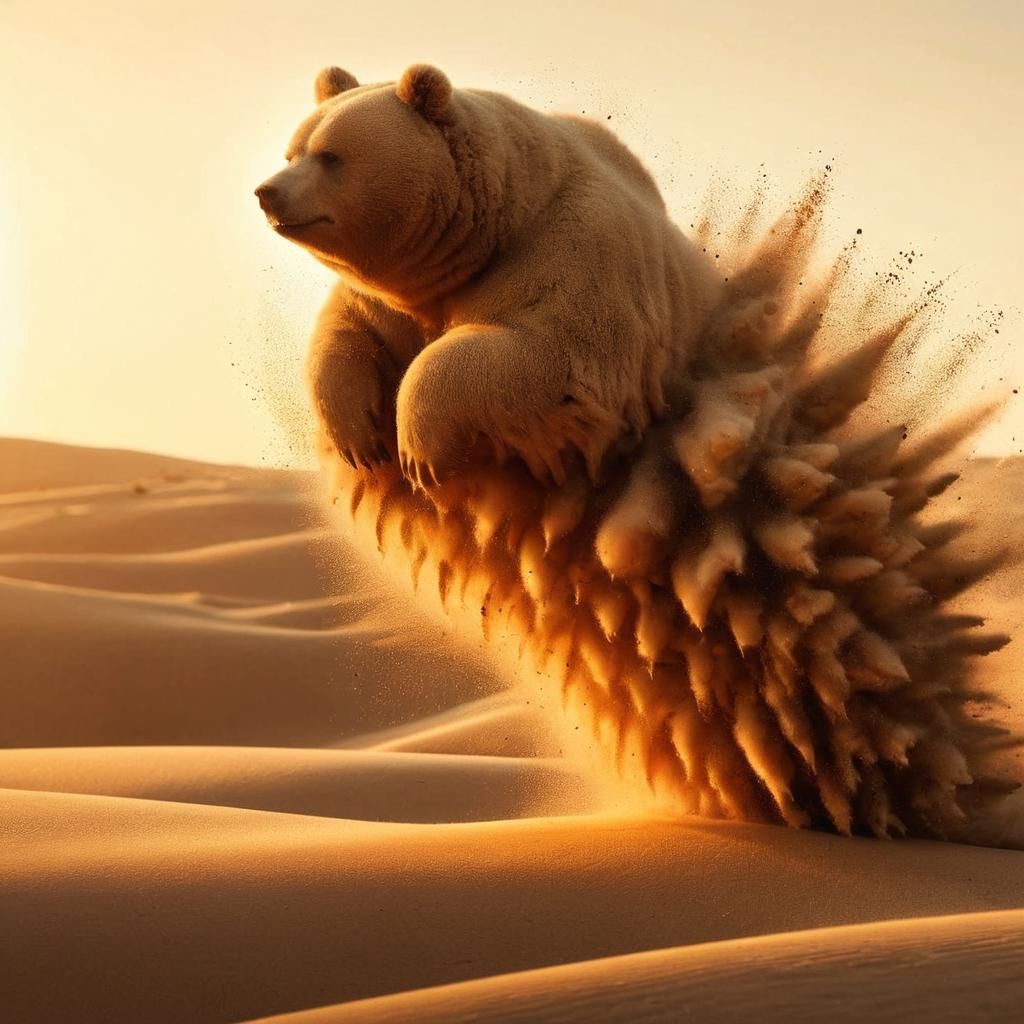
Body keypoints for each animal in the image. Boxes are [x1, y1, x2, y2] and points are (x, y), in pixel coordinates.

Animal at [255, 63, 722, 486]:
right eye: (293, 153)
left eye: (330, 156)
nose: (267, 192)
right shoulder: (390, 295)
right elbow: (345, 335)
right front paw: (362, 444)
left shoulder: (569, 252)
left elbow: (551, 356)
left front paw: (420, 456)